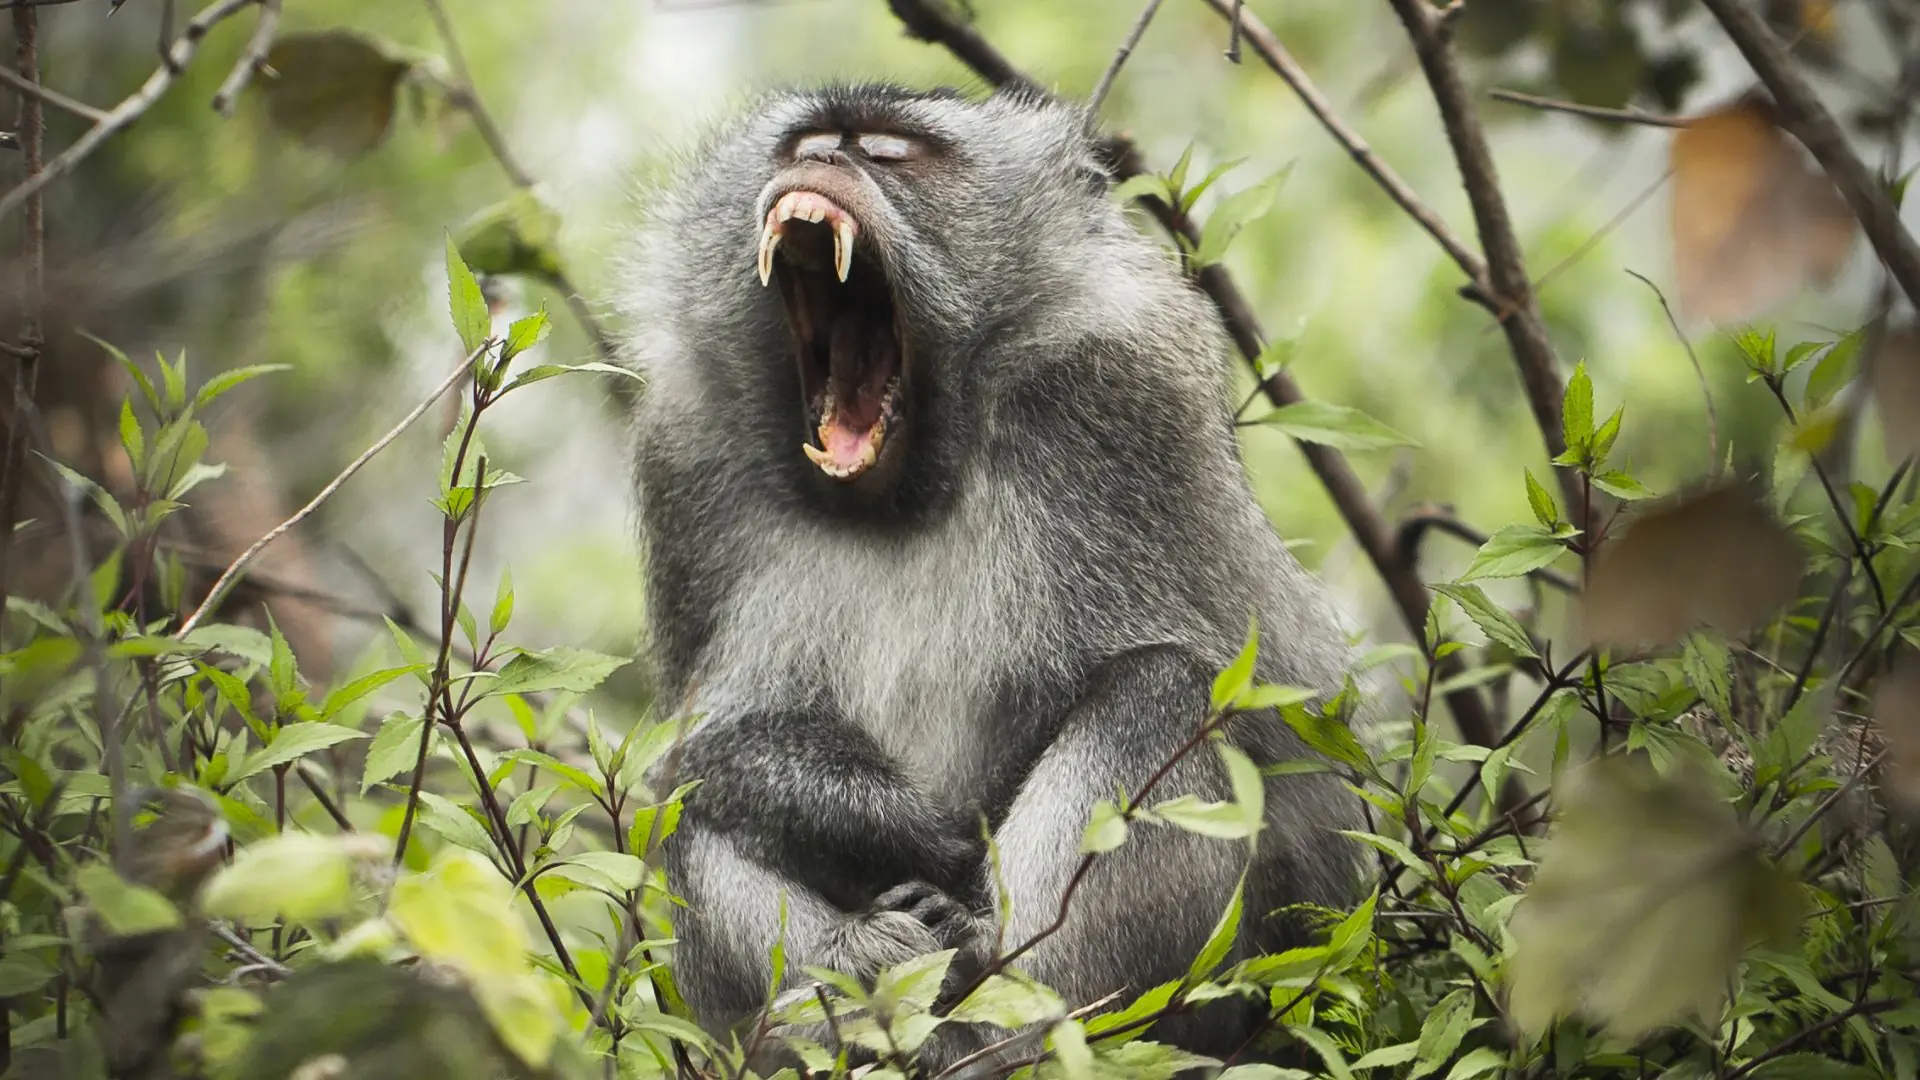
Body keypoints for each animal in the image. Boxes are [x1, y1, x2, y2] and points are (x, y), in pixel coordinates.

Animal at [619, 82, 1368, 1073]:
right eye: (809, 141)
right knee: (697, 799)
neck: (903, 496)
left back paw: (1000, 1005)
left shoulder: (1126, 396)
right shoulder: (683, 452)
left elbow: (1256, 704)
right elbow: (709, 744)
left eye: (890, 152)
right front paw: (884, 825)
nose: (821, 164)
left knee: (1162, 692)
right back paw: (850, 987)